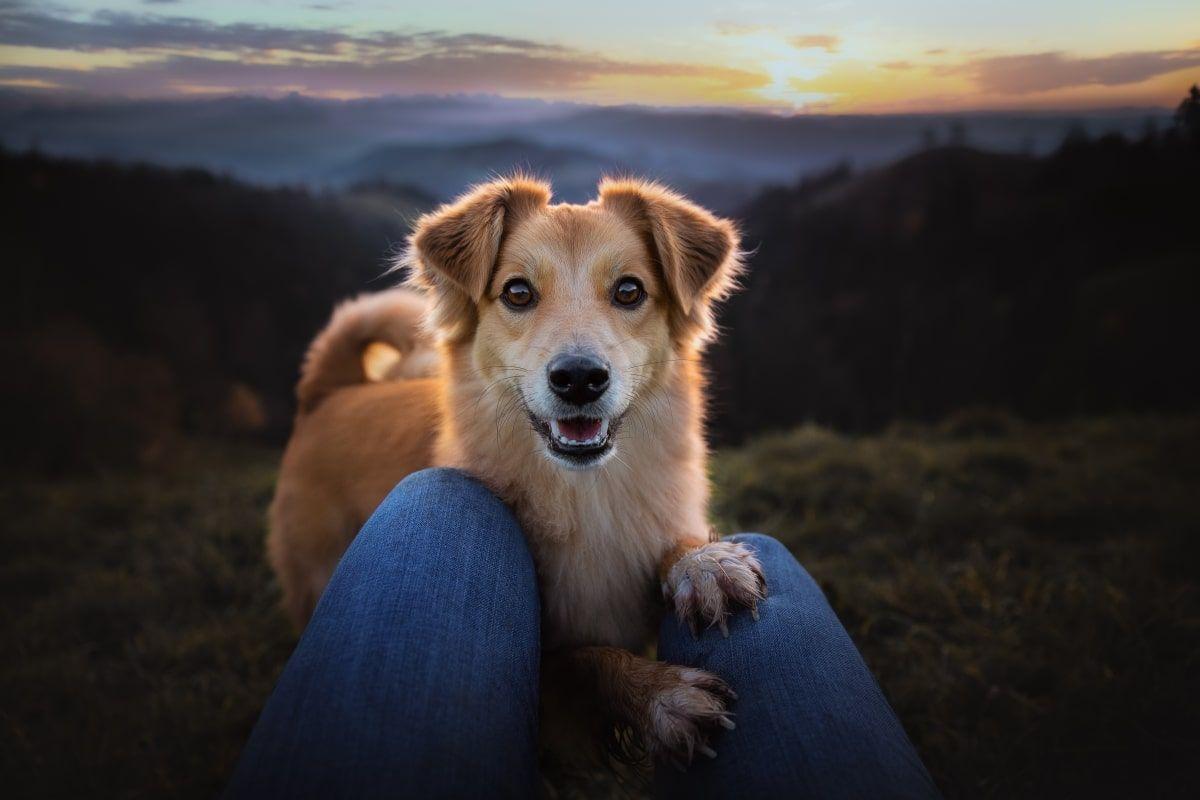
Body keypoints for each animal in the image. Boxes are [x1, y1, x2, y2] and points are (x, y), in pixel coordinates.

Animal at [267, 178, 763, 767]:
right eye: (518, 293)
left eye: (629, 291)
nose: (579, 379)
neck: (585, 493)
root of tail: (330, 393)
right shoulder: (547, 676)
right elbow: (586, 660)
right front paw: (659, 694)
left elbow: (671, 546)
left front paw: (702, 563)